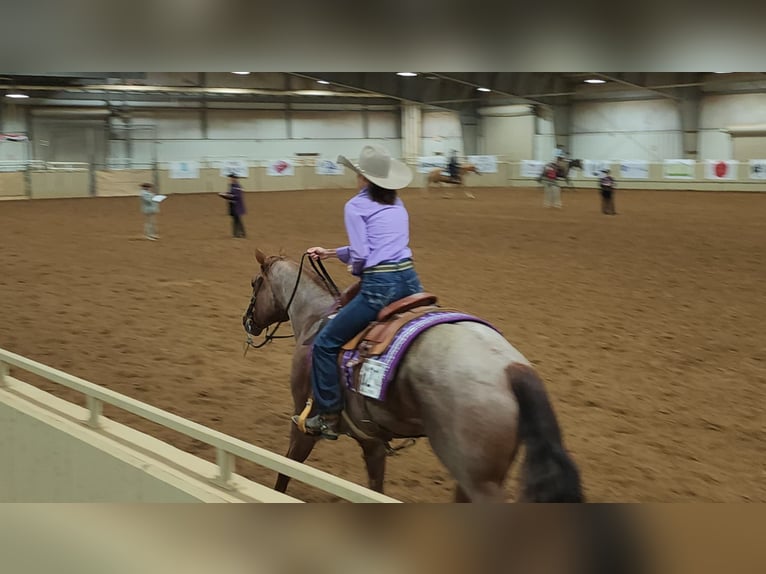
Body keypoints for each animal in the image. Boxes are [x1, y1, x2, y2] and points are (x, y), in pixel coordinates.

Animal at [242, 249, 584, 503]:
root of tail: (513, 369)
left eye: (255, 282)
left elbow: (285, 470)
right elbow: (375, 488)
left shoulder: (302, 422)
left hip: (480, 481)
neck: (315, 319)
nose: (247, 321)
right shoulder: (372, 441)